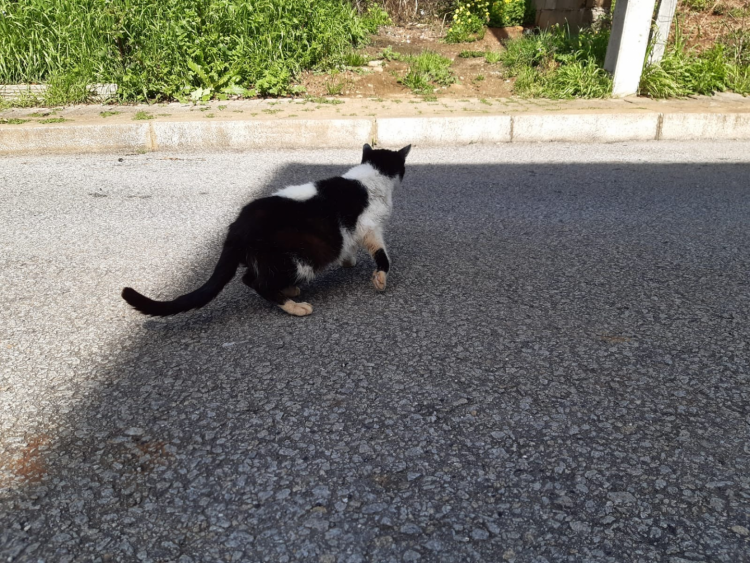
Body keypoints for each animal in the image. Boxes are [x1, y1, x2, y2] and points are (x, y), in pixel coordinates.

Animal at [121, 144, 411, 317]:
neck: (369, 177)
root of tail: (237, 226)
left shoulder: (350, 233)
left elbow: (348, 248)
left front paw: (348, 261)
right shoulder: (370, 228)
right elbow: (383, 257)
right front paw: (379, 279)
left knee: (252, 276)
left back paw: (289, 292)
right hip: (299, 258)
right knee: (254, 281)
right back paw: (293, 305)